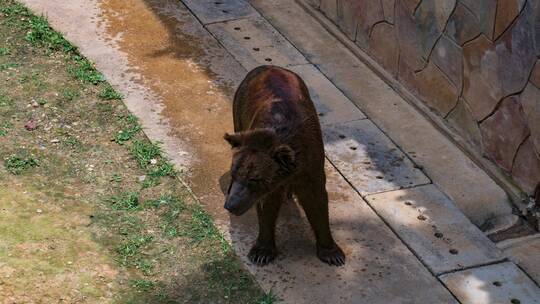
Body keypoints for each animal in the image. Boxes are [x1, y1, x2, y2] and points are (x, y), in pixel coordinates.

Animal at [225, 64, 346, 266]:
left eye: (254, 179)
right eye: (235, 174)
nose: (231, 205)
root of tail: (269, 67)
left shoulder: (310, 166)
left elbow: (317, 201)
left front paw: (332, 253)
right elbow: (267, 206)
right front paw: (261, 252)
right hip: (239, 112)